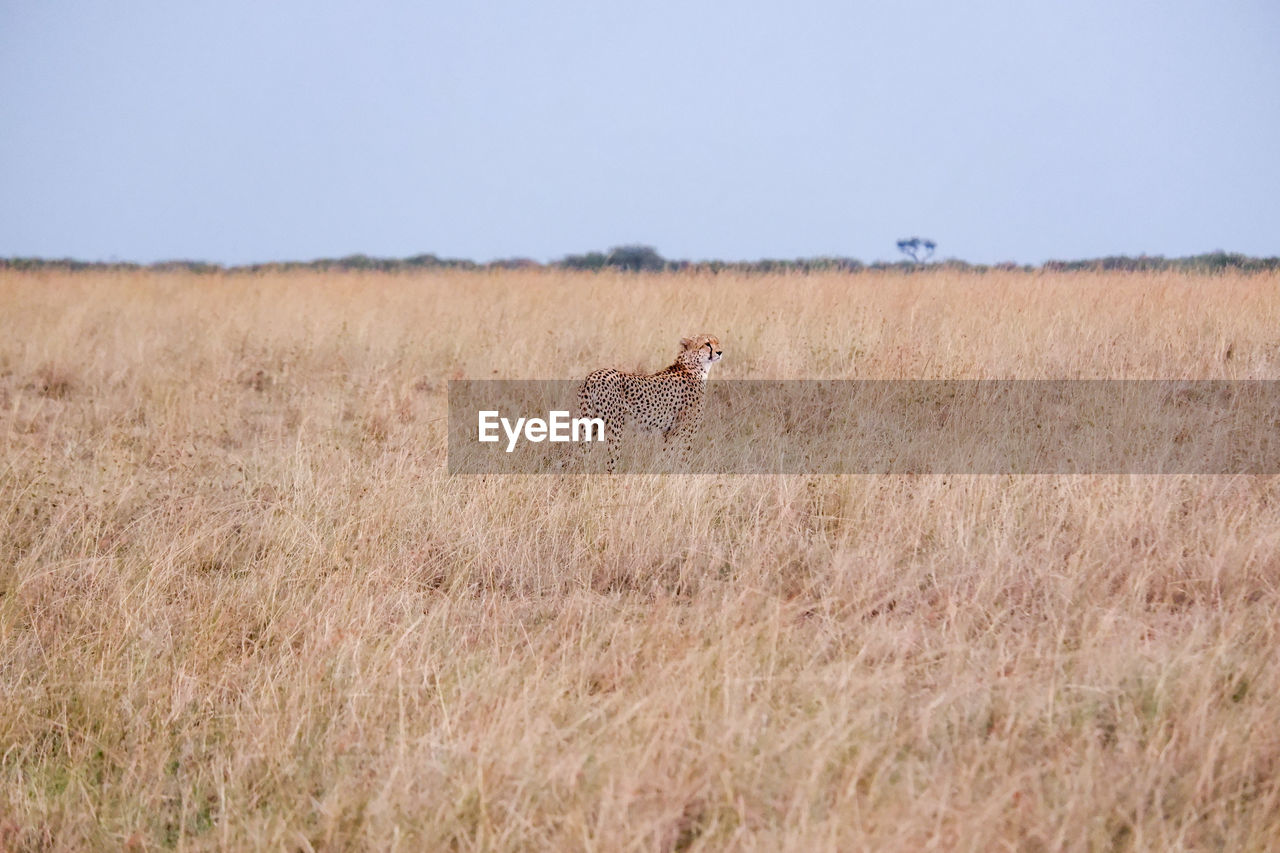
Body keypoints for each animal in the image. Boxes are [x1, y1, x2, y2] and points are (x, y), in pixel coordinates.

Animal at [576, 333, 727, 471]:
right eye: (707, 344)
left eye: (717, 342)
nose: (720, 352)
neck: (693, 368)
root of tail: (593, 375)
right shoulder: (687, 430)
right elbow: (683, 458)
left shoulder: (670, 432)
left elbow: (667, 455)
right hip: (614, 429)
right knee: (610, 462)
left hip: (592, 425)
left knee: (580, 455)